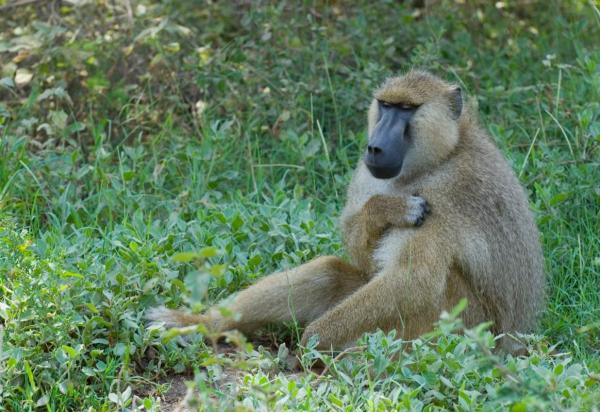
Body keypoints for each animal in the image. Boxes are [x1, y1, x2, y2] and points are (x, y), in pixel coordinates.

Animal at [148, 70, 548, 350]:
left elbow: (413, 280)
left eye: (407, 110)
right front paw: (383, 209)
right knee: (328, 273)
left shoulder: (448, 194)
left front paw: (312, 339)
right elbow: (364, 259)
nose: (374, 148)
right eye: (385, 105)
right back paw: (200, 324)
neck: (440, 156)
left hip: (463, 334)